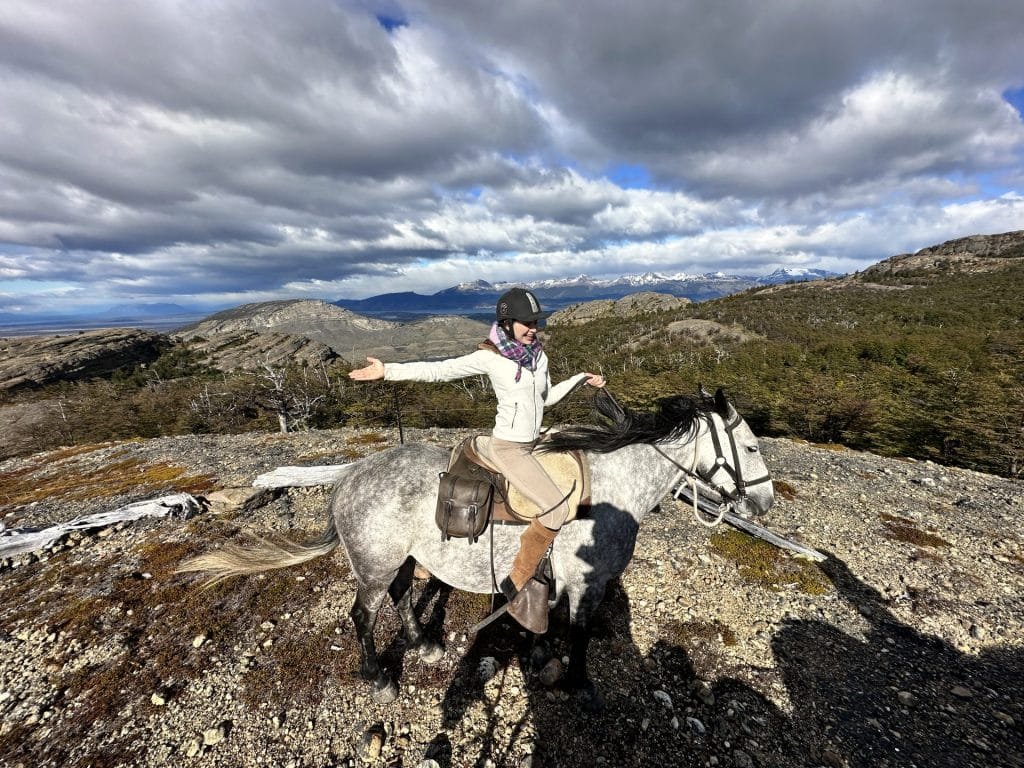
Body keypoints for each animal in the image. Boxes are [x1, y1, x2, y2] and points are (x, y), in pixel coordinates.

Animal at [182, 391, 774, 708]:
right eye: (749, 447)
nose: (765, 502)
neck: (612, 492)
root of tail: (350, 475)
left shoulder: (560, 580)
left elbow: (548, 622)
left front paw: (540, 658)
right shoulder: (588, 583)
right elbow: (579, 634)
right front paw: (580, 683)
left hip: (407, 558)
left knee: (402, 595)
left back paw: (423, 643)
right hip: (373, 566)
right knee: (362, 615)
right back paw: (379, 678)